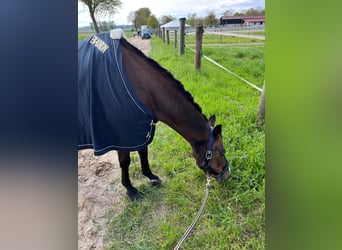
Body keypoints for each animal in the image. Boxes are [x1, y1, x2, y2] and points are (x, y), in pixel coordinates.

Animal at [79, 29, 231, 200]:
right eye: (222, 152)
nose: (228, 174)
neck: (140, 86)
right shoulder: (121, 136)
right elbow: (125, 161)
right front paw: (130, 189)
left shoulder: (140, 128)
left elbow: (143, 153)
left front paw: (151, 177)